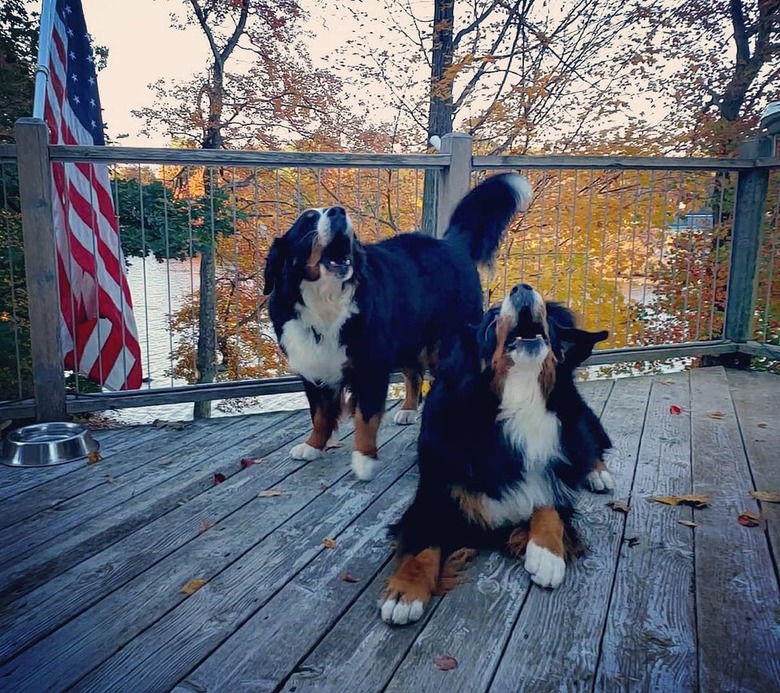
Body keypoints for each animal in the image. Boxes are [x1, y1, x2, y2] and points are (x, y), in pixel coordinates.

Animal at [262, 172, 532, 482]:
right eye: (307, 220)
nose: (338, 212)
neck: (326, 302)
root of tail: (450, 244)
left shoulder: (370, 367)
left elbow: (365, 417)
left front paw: (364, 459)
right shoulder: (313, 366)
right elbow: (319, 414)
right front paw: (313, 446)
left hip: (442, 344)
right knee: (413, 373)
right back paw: (408, 410)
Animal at [380, 278, 612, 624]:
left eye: (548, 318)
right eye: (491, 318)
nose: (523, 287)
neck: (518, 399)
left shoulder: (552, 476)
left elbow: (549, 507)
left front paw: (546, 555)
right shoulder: (434, 496)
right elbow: (424, 542)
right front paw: (404, 593)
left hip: (575, 416)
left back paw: (599, 474)